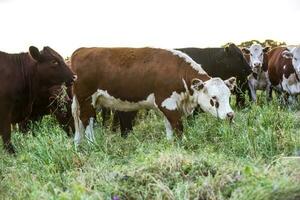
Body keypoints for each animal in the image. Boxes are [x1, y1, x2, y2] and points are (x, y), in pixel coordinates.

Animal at [71, 47, 237, 146]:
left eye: (229, 95)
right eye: (214, 98)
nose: (230, 114)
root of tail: (82, 50)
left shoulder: (169, 105)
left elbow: (169, 127)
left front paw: (170, 144)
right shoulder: (167, 103)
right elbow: (178, 126)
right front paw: (184, 143)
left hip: (87, 100)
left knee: (81, 121)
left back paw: (79, 145)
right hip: (86, 98)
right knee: (86, 120)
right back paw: (92, 144)